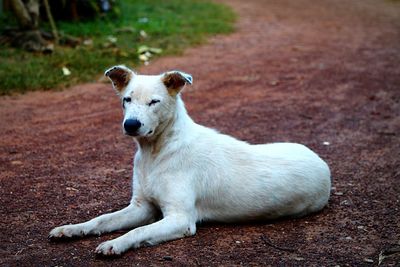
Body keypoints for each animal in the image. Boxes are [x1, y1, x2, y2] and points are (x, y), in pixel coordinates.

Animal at [49, 66, 332, 256]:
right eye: (126, 99)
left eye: (154, 102)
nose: (131, 125)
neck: (156, 153)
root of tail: (321, 161)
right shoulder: (141, 207)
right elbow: (101, 220)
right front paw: (72, 229)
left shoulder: (180, 219)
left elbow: (137, 232)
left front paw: (115, 243)